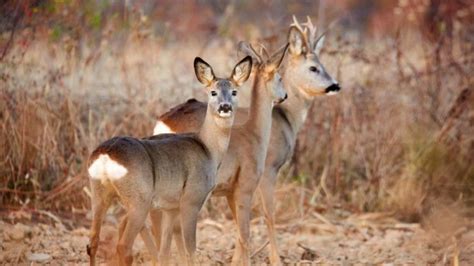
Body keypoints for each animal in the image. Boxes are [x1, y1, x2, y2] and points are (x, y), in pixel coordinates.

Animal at [87, 55, 254, 264]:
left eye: (234, 91)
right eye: (213, 92)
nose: (225, 107)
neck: (208, 149)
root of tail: (105, 155)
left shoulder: (170, 208)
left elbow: (165, 250)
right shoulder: (191, 200)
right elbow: (190, 250)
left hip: (99, 193)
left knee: (93, 241)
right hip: (139, 201)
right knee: (123, 246)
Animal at [152, 17, 340, 266]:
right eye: (314, 67)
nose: (335, 85)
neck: (286, 119)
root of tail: (162, 121)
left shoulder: (232, 187)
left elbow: (240, 228)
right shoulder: (267, 170)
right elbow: (267, 216)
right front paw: (276, 260)